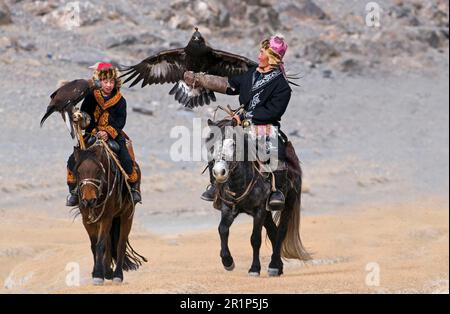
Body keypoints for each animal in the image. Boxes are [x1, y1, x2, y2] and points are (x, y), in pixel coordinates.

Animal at [72, 139, 146, 284]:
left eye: (98, 170)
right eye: (78, 172)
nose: (89, 200)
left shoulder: (107, 216)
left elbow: (100, 244)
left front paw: (98, 275)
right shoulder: (87, 219)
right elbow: (95, 245)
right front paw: (98, 273)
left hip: (127, 215)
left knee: (121, 243)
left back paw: (117, 275)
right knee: (109, 242)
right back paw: (108, 272)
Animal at [207, 119, 310, 276]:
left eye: (234, 144)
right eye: (212, 145)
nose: (219, 172)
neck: (240, 181)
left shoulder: (259, 210)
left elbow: (255, 239)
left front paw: (254, 268)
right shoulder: (228, 208)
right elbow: (222, 229)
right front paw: (227, 261)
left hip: (288, 204)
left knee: (281, 231)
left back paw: (273, 266)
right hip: (267, 214)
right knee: (273, 232)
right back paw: (278, 266)